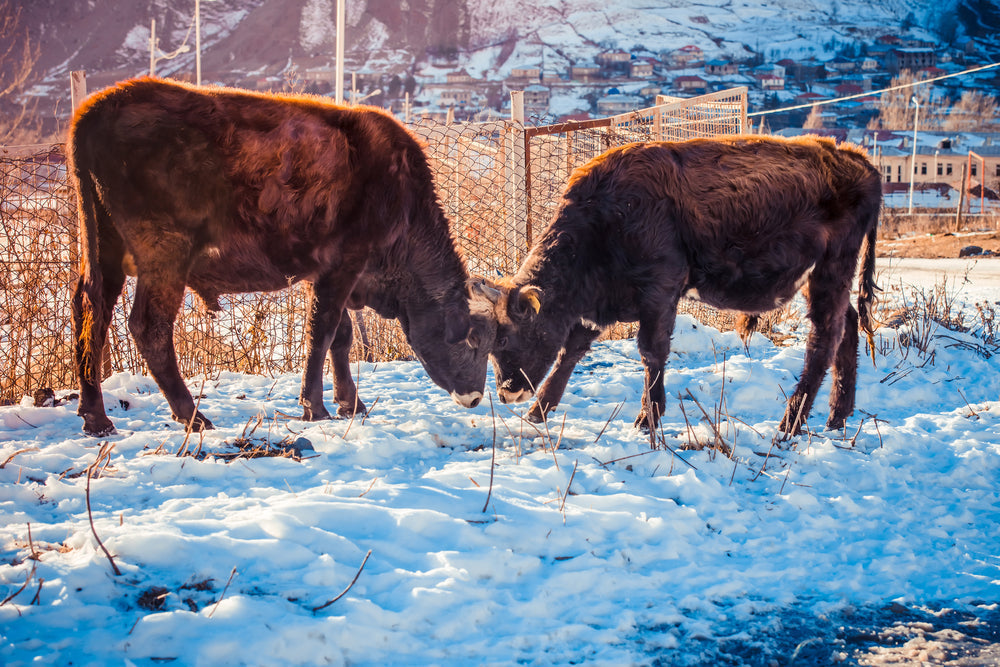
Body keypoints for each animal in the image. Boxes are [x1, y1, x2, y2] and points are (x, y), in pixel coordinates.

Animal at [69, 77, 494, 437]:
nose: (474, 397)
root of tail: (99, 106)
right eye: (473, 339)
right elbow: (323, 332)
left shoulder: (323, 275)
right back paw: (193, 416)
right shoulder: (343, 265)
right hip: (165, 259)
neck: (400, 196)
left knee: (90, 315)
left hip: (104, 256)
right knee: (149, 327)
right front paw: (316, 407)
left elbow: (342, 336)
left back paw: (96, 418)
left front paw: (350, 403)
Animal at [476, 134, 881, 436]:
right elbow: (570, 351)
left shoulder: (659, 292)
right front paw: (538, 410)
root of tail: (854, 159)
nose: (508, 393)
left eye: (509, 339)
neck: (604, 217)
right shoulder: (601, 302)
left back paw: (791, 423)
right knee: (847, 328)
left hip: (831, 270)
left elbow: (651, 352)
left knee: (824, 339)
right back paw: (837, 416)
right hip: (825, 279)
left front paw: (648, 418)